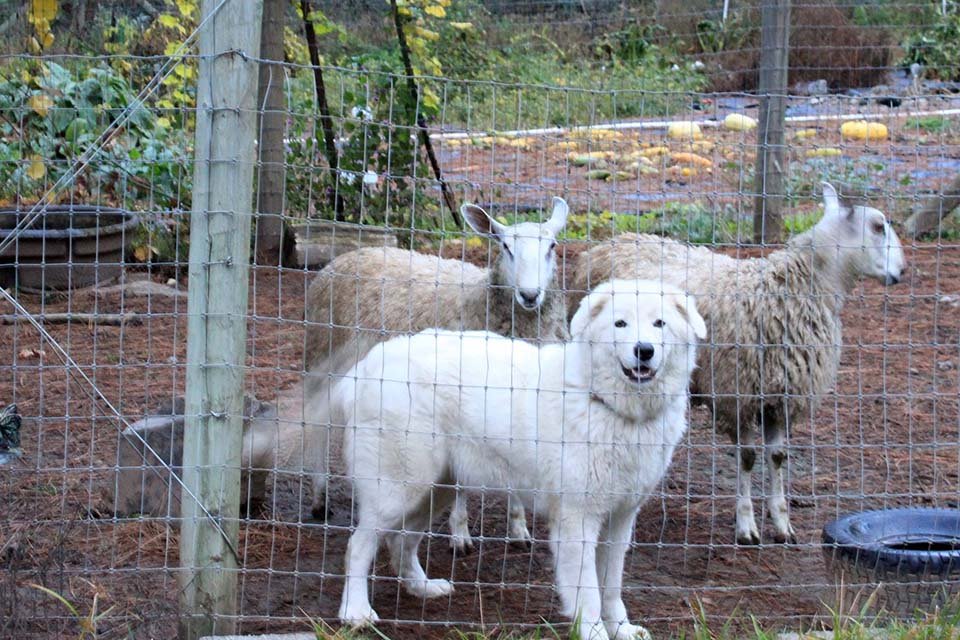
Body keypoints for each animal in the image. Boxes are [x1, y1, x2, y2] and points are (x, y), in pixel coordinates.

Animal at [304, 196, 568, 552]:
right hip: (321, 359)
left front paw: (518, 528)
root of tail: (347, 255)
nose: (529, 295)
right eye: (505, 246)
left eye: (552, 246)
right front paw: (460, 534)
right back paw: (319, 497)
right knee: (316, 427)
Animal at [330, 280, 704, 640]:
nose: (644, 350)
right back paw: (356, 613)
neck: (604, 401)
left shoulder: (620, 519)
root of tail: (367, 367)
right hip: (397, 491)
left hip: (435, 490)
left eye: (659, 324)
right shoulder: (577, 521)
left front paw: (621, 630)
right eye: (620, 323)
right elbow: (588, 594)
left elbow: (611, 588)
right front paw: (595, 633)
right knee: (358, 546)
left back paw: (422, 588)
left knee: (401, 541)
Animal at [568, 184, 908, 544]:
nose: (902, 271)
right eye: (878, 227)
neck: (796, 289)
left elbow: (777, 456)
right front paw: (746, 526)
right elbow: (747, 458)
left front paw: (782, 523)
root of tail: (604, 245)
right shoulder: (738, 393)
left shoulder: (780, 397)